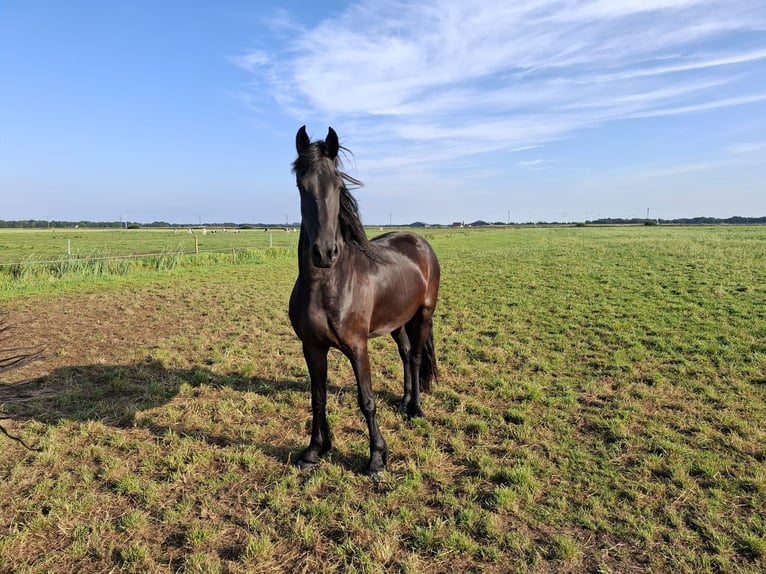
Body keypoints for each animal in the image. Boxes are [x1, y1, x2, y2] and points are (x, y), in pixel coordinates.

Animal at [289, 126, 440, 478]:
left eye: (338, 184)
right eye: (301, 185)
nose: (324, 252)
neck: (326, 286)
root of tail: (420, 242)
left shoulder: (358, 347)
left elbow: (367, 400)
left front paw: (376, 458)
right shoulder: (312, 347)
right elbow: (318, 398)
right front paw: (314, 451)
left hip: (423, 314)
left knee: (415, 358)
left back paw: (415, 408)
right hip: (398, 321)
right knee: (406, 354)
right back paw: (403, 401)